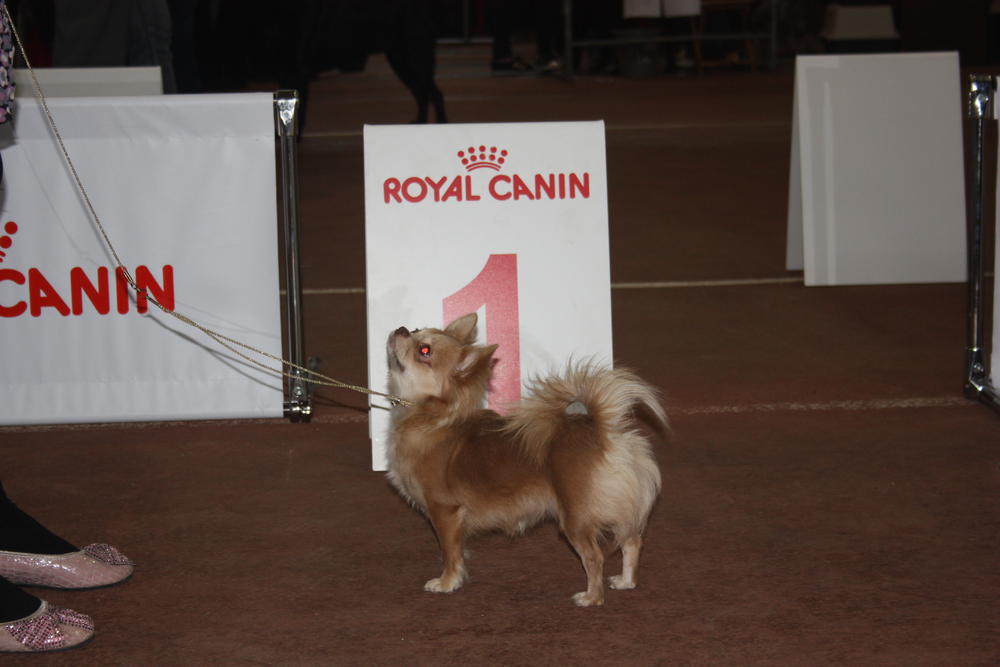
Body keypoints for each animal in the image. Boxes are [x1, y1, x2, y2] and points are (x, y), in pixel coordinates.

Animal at [385, 312, 664, 606]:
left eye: (424, 351)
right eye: (416, 329)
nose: (402, 329)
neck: (431, 418)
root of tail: (602, 432)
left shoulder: (445, 511)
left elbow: (450, 552)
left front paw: (447, 582)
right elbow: (456, 550)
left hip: (575, 518)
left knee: (595, 556)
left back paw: (591, 597)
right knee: (632, 541)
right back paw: (626, 581)